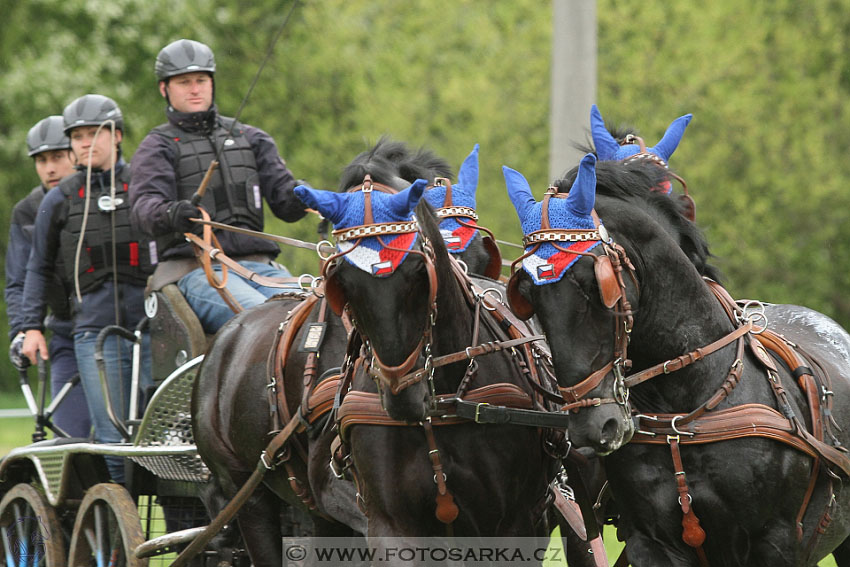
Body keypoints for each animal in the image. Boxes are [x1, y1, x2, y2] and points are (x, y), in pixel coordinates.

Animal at [504, 153, 848, 564]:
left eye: (594, 283)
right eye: (528, 295)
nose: (593, 425)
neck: (684, 411)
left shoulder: (775, 541)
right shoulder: (651, 542)